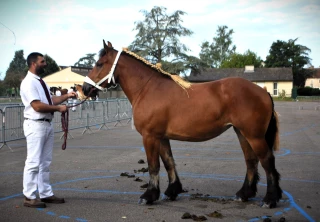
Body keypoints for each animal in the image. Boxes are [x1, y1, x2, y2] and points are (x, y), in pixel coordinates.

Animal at [82, 40, 282, 209]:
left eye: (99, 64)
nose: (84, 88)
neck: (148, 89)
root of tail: (263, 91)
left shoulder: (150, 136)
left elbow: (153, 165)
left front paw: (149, 196)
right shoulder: (161, 137)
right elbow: (169, 162)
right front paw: (172, 191)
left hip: (254, 135)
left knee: (267, 161)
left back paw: (270, 199)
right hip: (242, 133)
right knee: (251, 161)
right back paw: (244, 194)